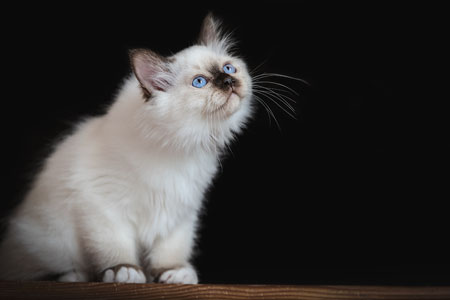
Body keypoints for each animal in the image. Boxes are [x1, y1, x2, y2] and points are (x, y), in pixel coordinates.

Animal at [0, 12, 253, 284]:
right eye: (200, 82)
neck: (181, 147)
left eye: (228, 68)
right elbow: (115, 245)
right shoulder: (102, 205)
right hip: (45, 241)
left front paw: (174, 272)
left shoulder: (181, 210)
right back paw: (74, 276)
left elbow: (172, 248)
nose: (228, 81)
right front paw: (124, 271)